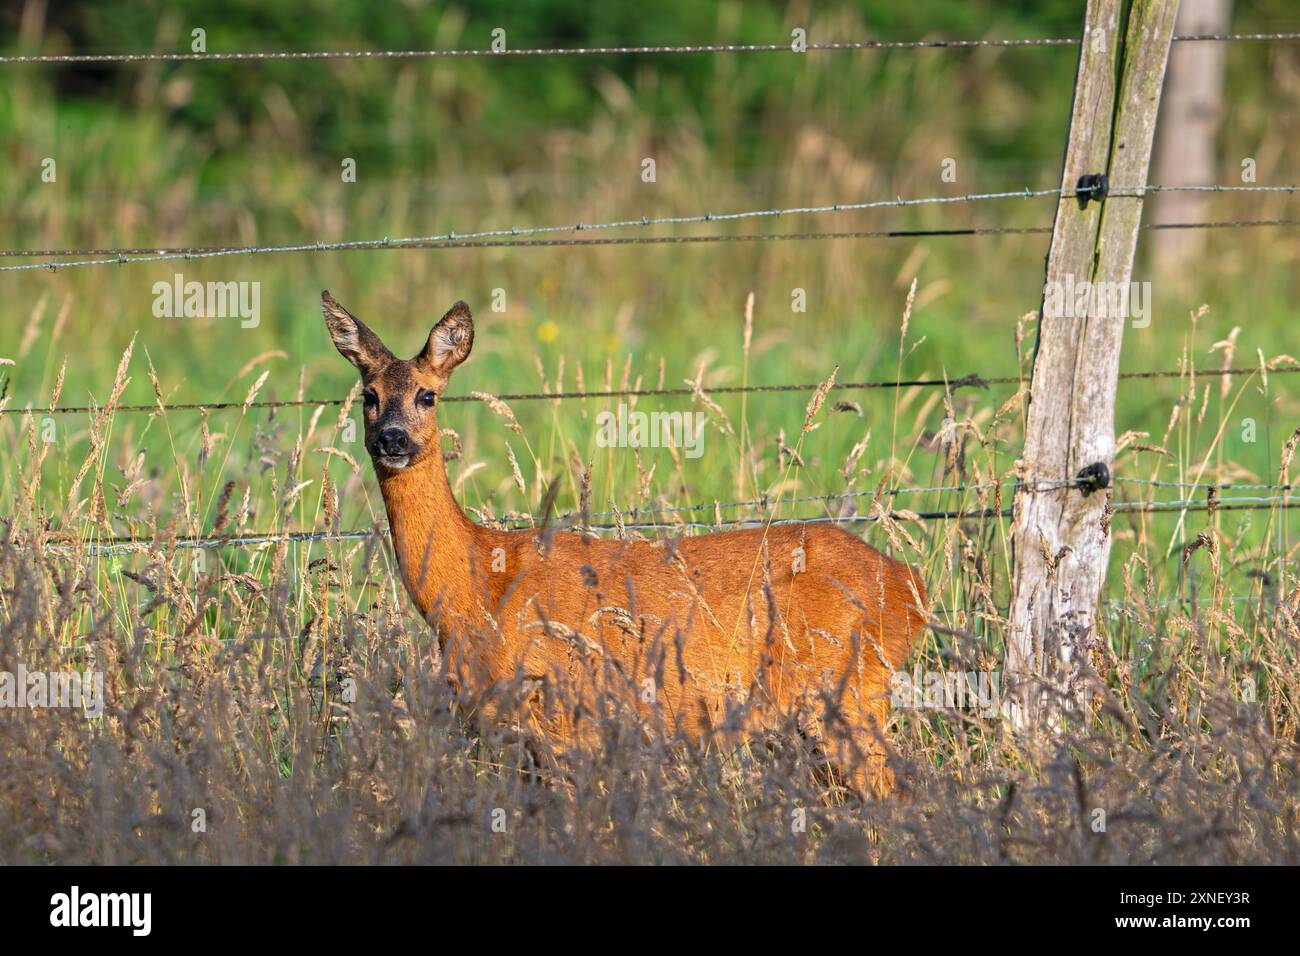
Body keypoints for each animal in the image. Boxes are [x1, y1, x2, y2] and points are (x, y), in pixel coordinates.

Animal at [322, 290, 925, 790]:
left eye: (427, 396)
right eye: (368, 395)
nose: (391, 438)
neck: (476, 591)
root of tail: (910, 583)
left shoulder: (568, 722)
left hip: (849, 692)